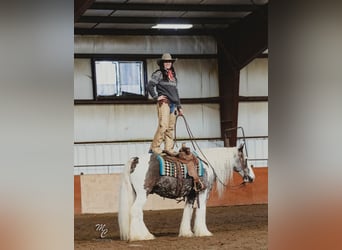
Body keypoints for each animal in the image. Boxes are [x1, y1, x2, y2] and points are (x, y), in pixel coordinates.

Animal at [117, 144, 254, 241]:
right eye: (246, 159)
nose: (252, 178)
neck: (208, 164)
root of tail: (136, 160)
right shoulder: (202, 192)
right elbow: (201, 211)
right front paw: (203, 232)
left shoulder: (191, 195)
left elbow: (188, 212)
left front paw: (186, 233)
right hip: (143, 193)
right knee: (136, 211)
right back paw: (142, 236)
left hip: (136, 193)